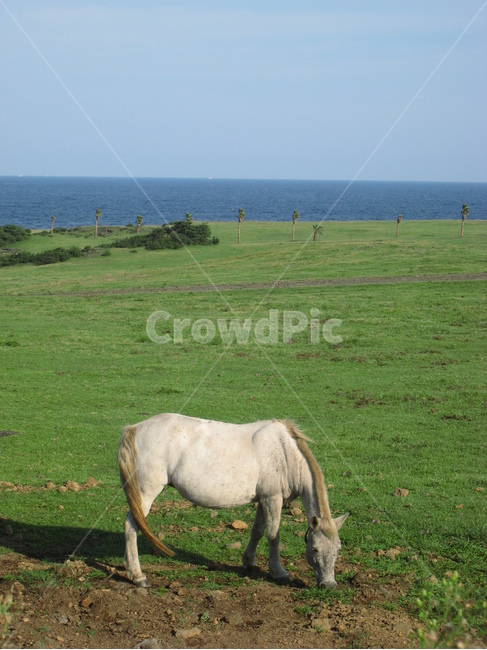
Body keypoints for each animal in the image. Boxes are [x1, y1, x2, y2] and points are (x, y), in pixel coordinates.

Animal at [118, 413, 348, 589]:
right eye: (314, 548)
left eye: (338, 549)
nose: (328, 585)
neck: (285, 452)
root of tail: (135, 429)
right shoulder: (273, 498)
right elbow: (273, 536)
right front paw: (278, 572)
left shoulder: (263, 500)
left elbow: (257, 531)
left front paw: (248, 562)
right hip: (145, 493)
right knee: (131, 525)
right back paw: (138, 576)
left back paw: (129, 568)